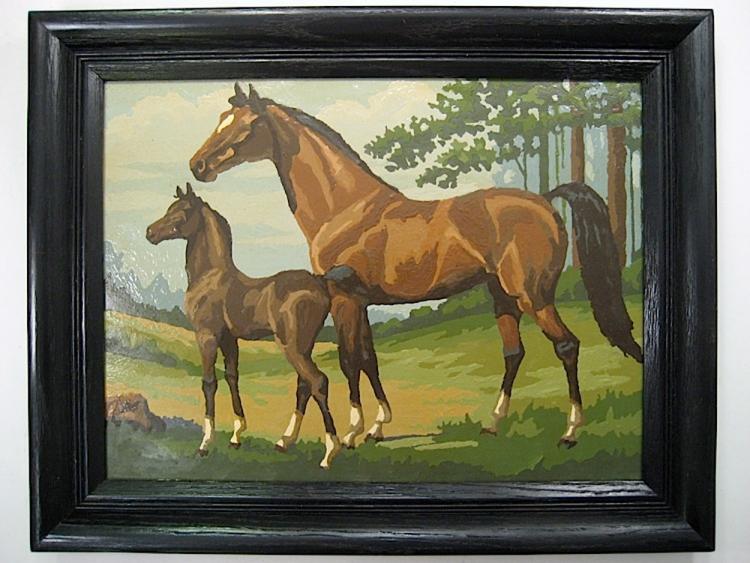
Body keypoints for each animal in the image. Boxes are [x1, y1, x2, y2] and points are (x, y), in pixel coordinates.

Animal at [146, 183, 341, 468]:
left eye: (182, 211)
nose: (150, 232)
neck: (210, 276)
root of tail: (320, 282)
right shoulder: (229, 339)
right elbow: (232, 377)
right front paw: (237, 436)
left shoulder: (206, 336)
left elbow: (209, 382)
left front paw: (205, 444)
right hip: (304, 346)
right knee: (304, 385)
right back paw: (284, 442)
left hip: (291, 347)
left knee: (318, 382)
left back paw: (329, 453)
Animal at [188, 83, 643, 449]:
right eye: (221, 119)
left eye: (245, 124)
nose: (198, 165)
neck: (345, 207)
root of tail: (546, 200)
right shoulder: (362, 301)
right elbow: (368, 358)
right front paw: (377, 426)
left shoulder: (344, 298)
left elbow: (349, 360)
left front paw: (352, 433)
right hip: (502, 296)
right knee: (514, 353)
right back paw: (494, 424)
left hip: (533, 296)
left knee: (567, 347)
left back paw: (570, 431)